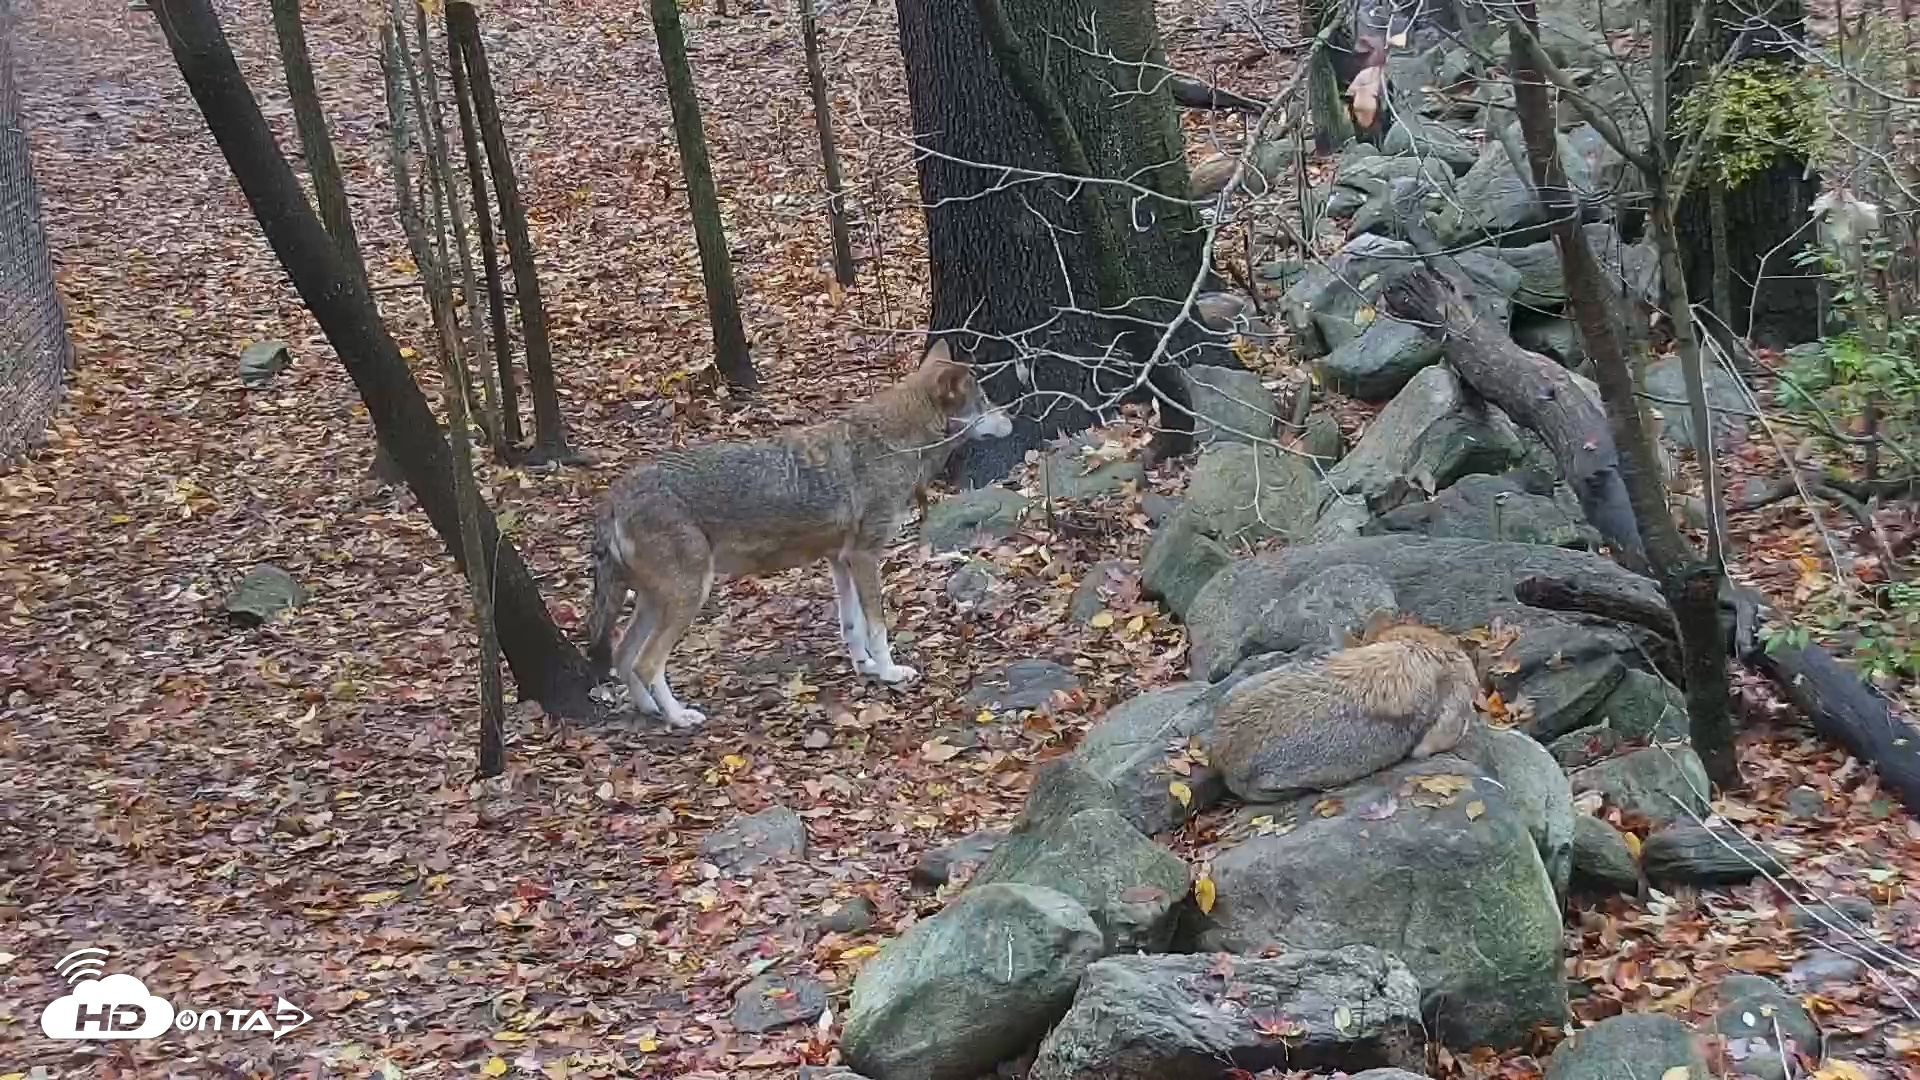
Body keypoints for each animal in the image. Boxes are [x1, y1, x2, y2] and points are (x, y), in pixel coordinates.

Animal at [586, 339, 1013, 729]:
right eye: (985, 401)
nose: (1011, 420)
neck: (896, 442)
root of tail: (615, 495)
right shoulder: (865, 555)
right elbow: (877, 626)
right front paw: (891, 673)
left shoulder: (840, 559)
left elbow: (852, 625)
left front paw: (866, 668)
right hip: (688, 596)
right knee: (645, 663)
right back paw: (677, 717)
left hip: (654, 600)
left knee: (623, 656)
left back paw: (650, 709)